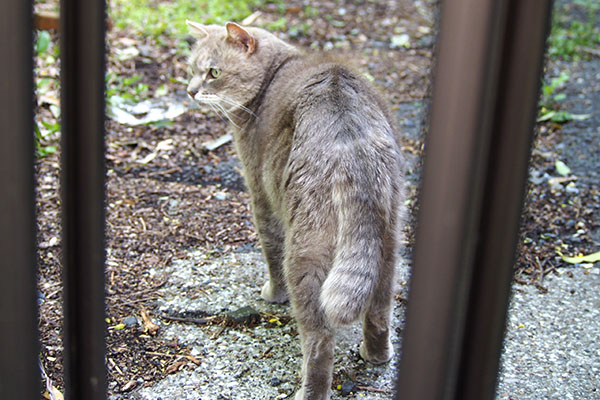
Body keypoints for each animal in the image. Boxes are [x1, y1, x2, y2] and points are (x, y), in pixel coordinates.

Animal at [185, 21, 406, 400]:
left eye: (213, 72)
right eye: (192, 69)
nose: (190, 91)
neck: (276, 72)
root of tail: (350, 141)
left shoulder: (260, 198)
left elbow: (269, 250)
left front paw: (273, 295)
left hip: (305, 253)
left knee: (318, 340)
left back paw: (309, 390)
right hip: (386, 243)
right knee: (379, 311)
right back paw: (375, 355)